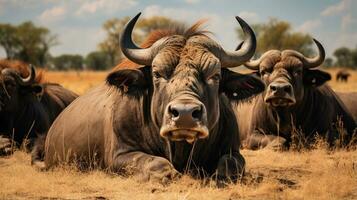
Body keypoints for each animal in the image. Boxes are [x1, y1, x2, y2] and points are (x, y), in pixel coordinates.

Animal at [39, 13, 264, 186]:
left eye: (215, 75)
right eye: (157, 73)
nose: (185, 114)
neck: (180, 149)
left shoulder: (233, 151)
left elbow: (230, 164)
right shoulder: (119, 156)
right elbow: (156, 163)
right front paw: (170, 174)